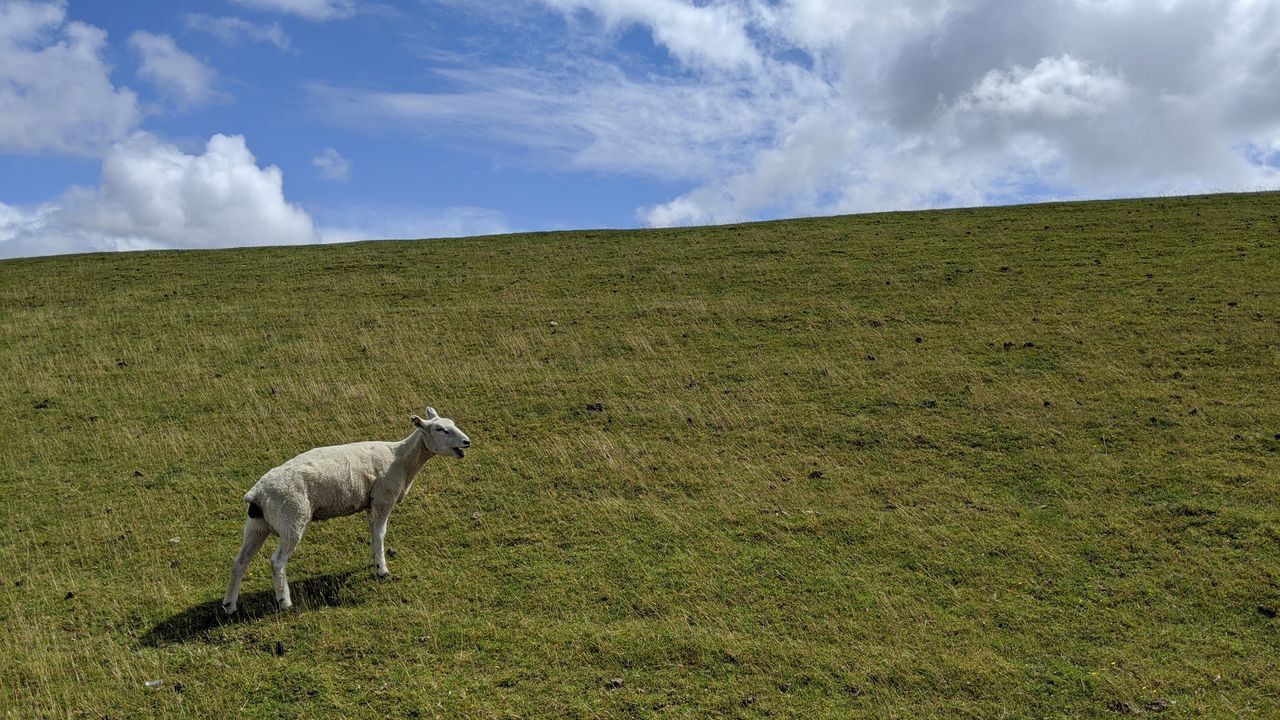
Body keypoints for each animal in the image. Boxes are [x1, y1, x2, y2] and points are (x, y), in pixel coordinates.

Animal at [221, 407, 471, 614]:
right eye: (440, 429)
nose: (466, 442)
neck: (401, 459)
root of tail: (258, 492)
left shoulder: (371, 503)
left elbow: (373, 534)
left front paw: (376, 560)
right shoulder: (383, 499)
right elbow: (380, 533)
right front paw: (382, 571)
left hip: (257, 525)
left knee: (239, 562)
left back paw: (229, 605)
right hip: (292, 519)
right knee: (276, 562)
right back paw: (285, 602)